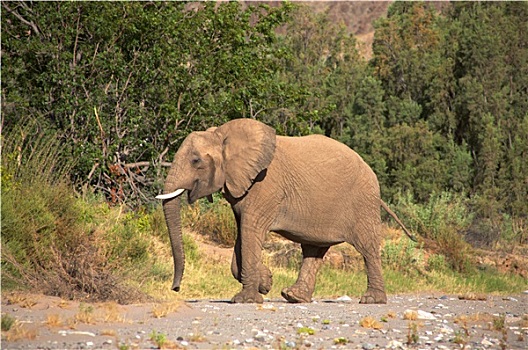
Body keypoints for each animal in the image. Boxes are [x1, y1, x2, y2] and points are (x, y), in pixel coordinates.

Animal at [157, 118, 416, 304]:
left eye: (195, 161)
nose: (176, 288)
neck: (223, 134)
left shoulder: (264, 186)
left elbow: (251, 232)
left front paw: (246, 299)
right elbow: (243, 233)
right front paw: (265, 282)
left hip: (363, 202)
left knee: (367, 247)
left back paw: (372, 300)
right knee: (313, 249)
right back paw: (294, 297)